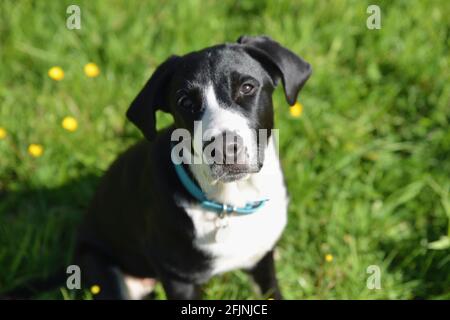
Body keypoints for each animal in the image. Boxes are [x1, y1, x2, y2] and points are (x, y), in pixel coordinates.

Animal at [74, 35, 312, 300]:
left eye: (247, 87)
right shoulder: (179, 279)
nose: (224, 148)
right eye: (185, 102)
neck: (231, 201)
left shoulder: (261, 258)